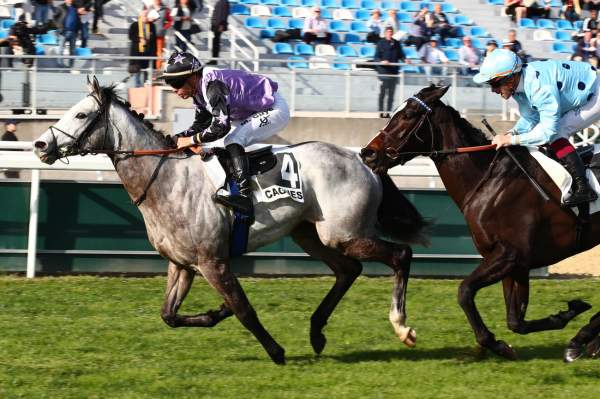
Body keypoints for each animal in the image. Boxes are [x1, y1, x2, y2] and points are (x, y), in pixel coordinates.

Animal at [32, 78, 426, 366]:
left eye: (82, 115)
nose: (39, 145)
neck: (165, 180)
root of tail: (361, 158)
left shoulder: (213, 261)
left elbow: (244, 310)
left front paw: (276, 352)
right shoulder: (182, 264)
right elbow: (169, 315)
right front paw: (216, 311)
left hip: (342, 233)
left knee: (399, 255)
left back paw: (402, 327)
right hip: (311, 234)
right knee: (348, 270)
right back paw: (317, 332)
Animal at [360, 84, 600, 362]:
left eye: (408, 115)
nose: (368, 153)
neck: (492, 181)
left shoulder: (508, 255)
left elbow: (464, 291)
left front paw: (495, 344)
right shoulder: (516, 263)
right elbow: (516, 321)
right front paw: (568, 313)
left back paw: (584, 339)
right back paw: (586, 339)